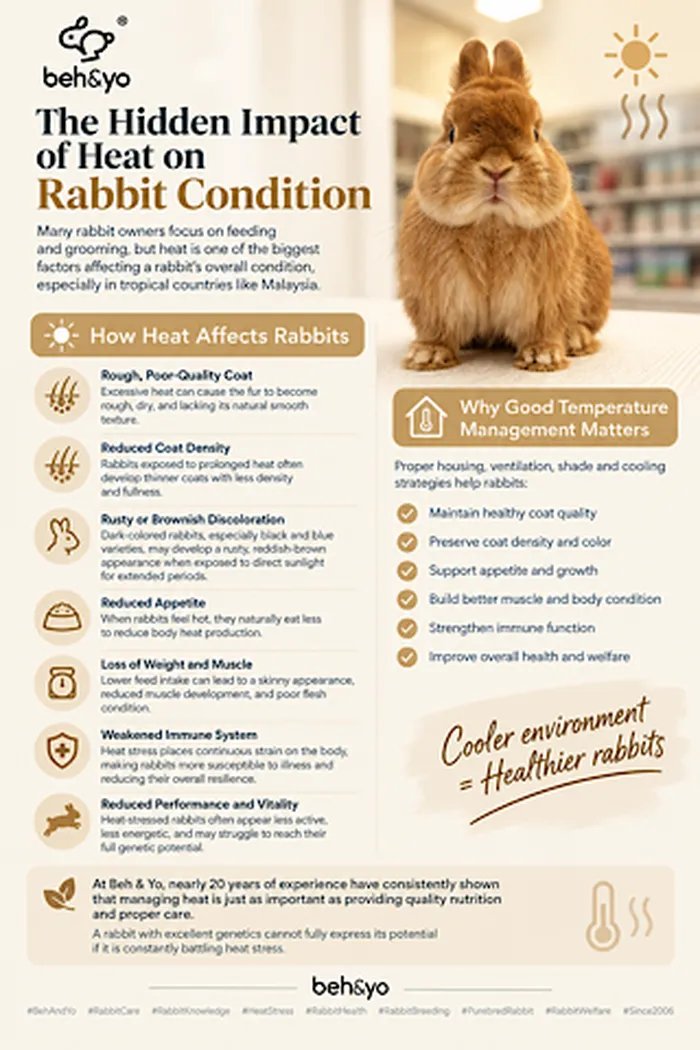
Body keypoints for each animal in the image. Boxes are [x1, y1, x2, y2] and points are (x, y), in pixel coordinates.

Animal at [398, 39, 612, 372]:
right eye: (451, 132)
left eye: (536, 133)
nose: (495, 168)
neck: (492, 222)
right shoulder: (437, 295)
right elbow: (437, 328)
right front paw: (428, 355)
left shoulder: (544, 296)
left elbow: (544, 325)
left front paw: (542, 357)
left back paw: (576, 339)